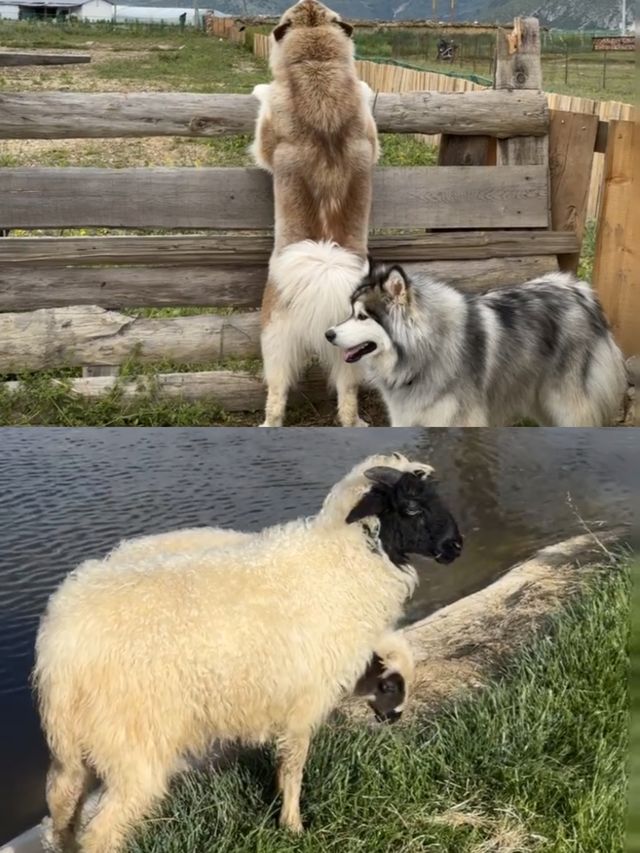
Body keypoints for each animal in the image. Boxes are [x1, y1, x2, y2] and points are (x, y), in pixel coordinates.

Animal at [33, 450, 460, 848]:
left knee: (61, 799)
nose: (456, 546)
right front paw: (293, 828)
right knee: (101, 833)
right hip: (132, 744)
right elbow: (292, 768)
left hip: (73, 741)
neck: (340, 563)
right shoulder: (303, 702)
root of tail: (60, 646)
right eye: (411, 507)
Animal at [251, 0, 380, 426]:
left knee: (276, 394)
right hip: (353, 352)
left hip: (273, 340)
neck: (317, 63)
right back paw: (356, 423)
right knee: (348, 395)